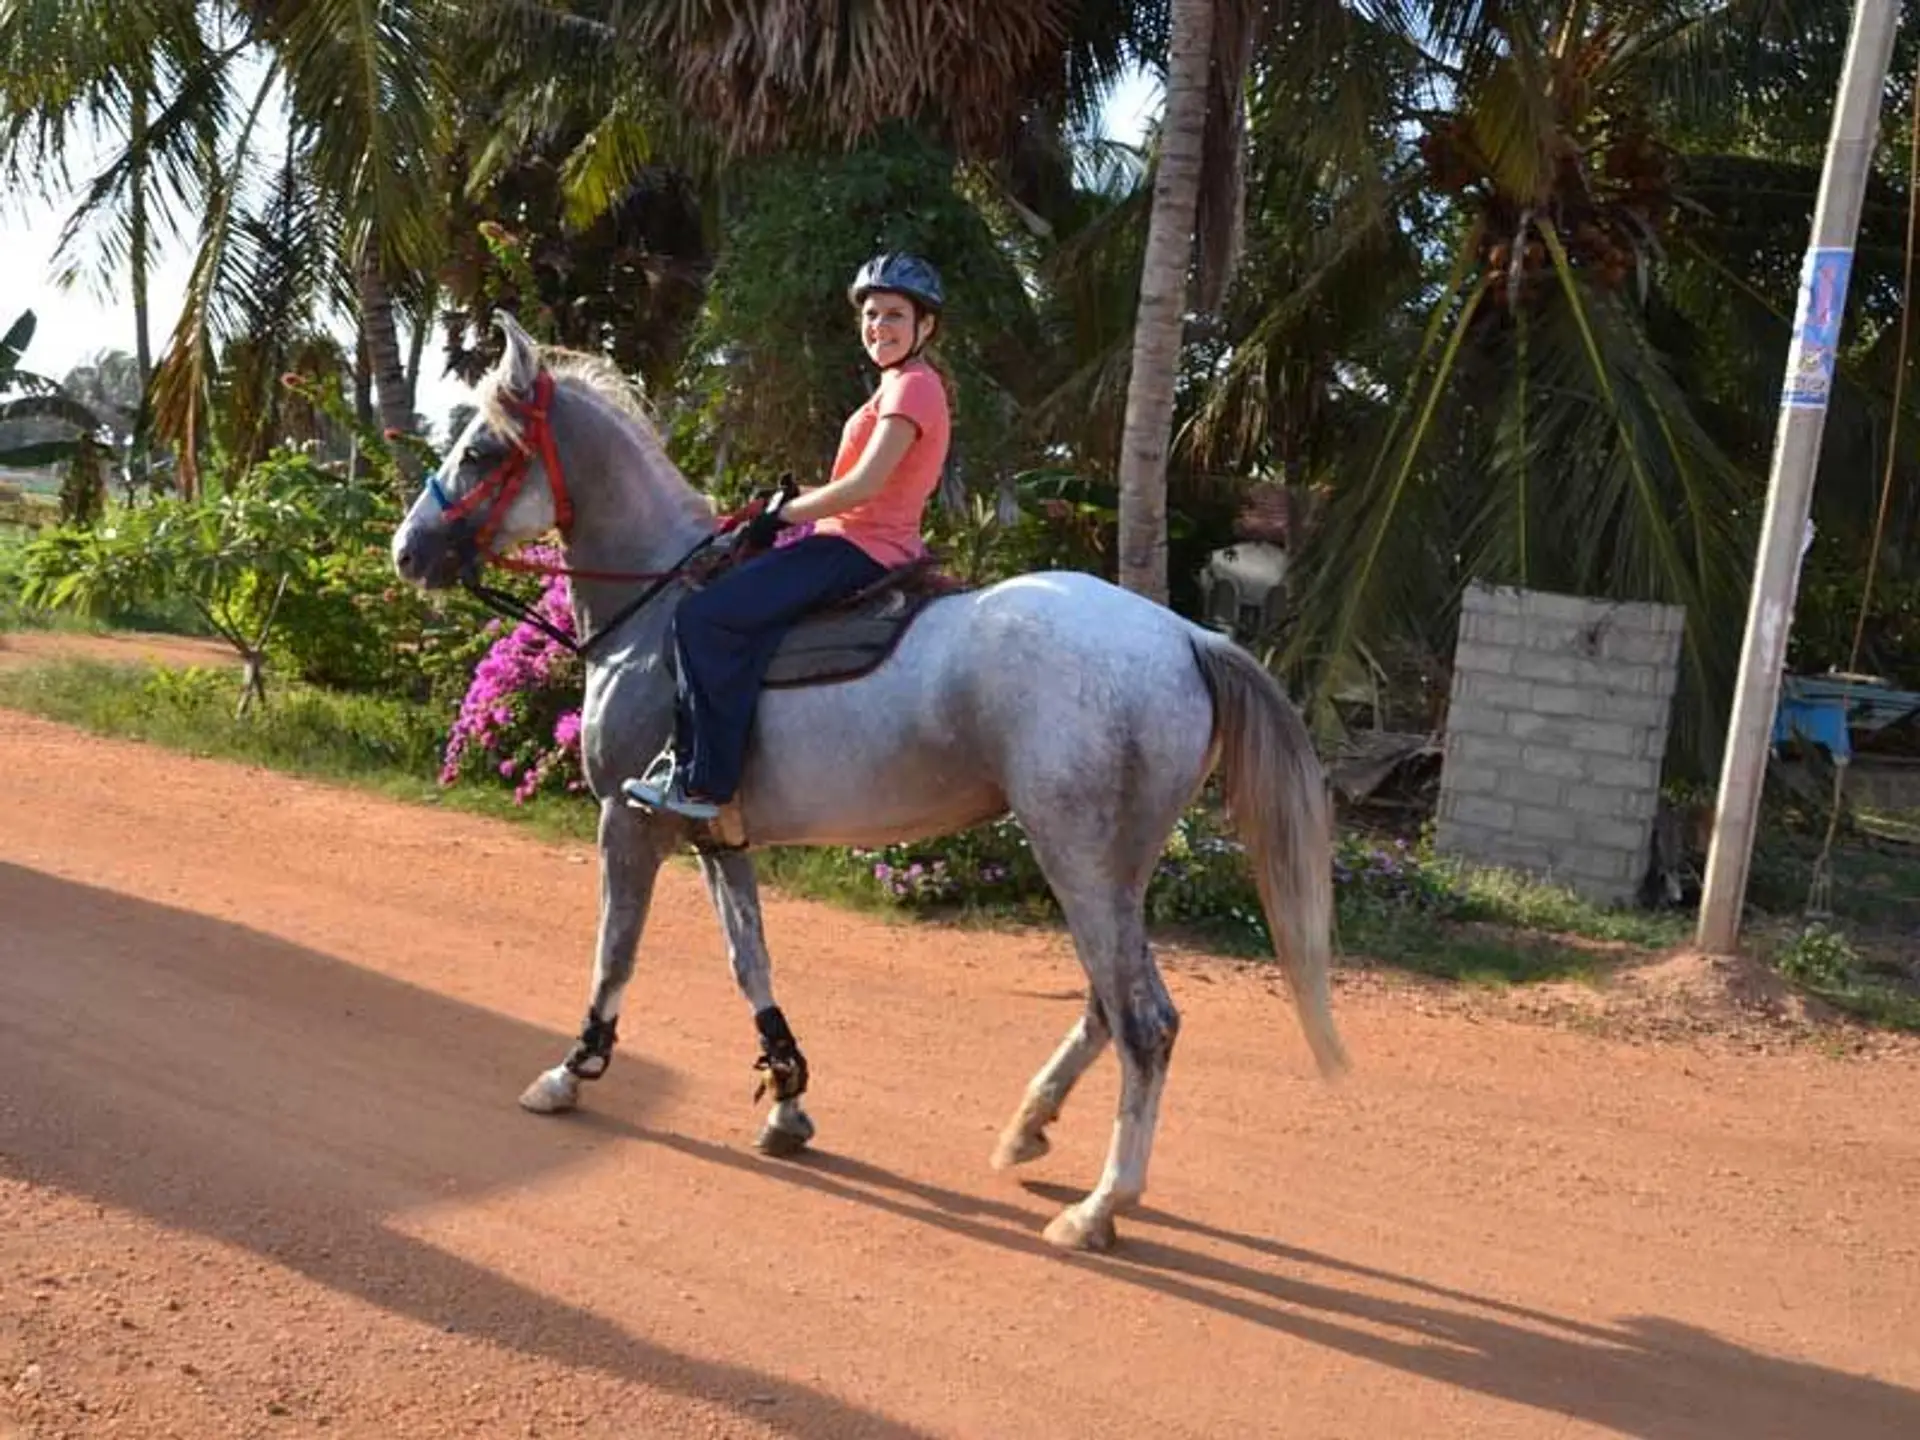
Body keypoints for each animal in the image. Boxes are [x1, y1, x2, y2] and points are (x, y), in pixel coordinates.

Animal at [389, 313, 1346, 1252]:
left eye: (480, 450)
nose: (407, 551)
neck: (659, 608)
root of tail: (1186, 635)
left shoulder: (629, 824)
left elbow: (614, 952)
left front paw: (573, 1069)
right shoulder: (716, 836)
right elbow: (750, 962)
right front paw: (787, 1098)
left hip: (1076, 856)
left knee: (1144, 1022)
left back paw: (1100, 1206)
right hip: (1116, 867)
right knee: (1110, 1005)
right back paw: (1028, 1128)